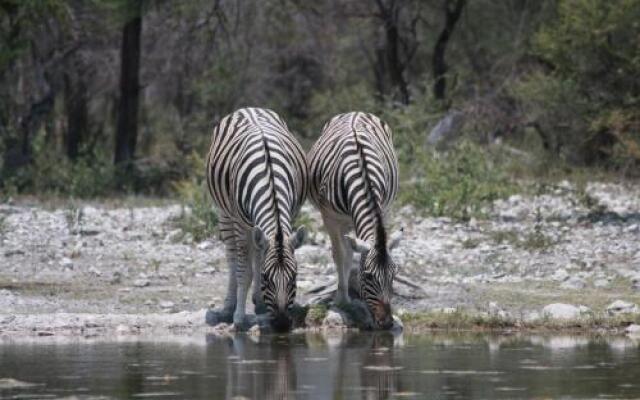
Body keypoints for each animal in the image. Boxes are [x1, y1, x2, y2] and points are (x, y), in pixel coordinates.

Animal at [205, 106, 304, 332]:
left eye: (294, 277)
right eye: (267, 278)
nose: (282, 325)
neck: (269, 178)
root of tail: (248, 108)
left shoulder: (289, 216)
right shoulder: (240, 225)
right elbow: (245, 272)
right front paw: (239, 318)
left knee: (258, 252)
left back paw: (258, 302)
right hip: (225, 214)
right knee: (232, 258)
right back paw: (229, 306)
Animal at [308, 110, 402, 328]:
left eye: (394, 275)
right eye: (368, 276)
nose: (387, 323)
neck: (362, 173)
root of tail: (355, 112)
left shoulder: (383, 209)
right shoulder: (330, 218)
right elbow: (340, 255)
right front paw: (342, 300)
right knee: (345, 251)